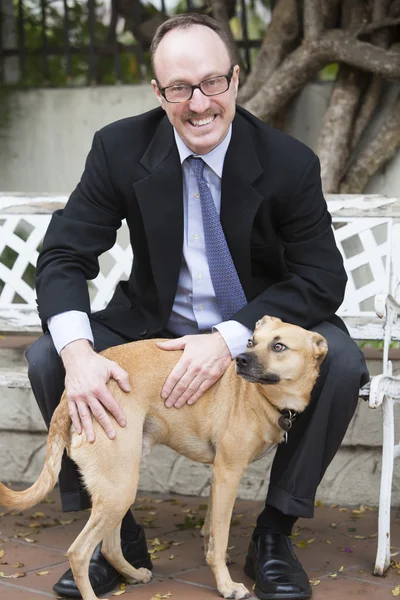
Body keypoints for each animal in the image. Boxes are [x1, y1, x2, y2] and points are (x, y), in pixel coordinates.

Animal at [0, 316, 328, 600]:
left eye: (278, 346)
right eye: (250, 341)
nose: (241, 360)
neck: (264, 398)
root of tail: (69, 396)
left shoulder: (218, 477)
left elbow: (211, 532)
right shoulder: (228, 473)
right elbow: (220, 540)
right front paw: (226, 586)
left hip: (117, 487)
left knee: (108, 546)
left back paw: (134, 574)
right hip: (121, 487)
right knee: (79, 552)